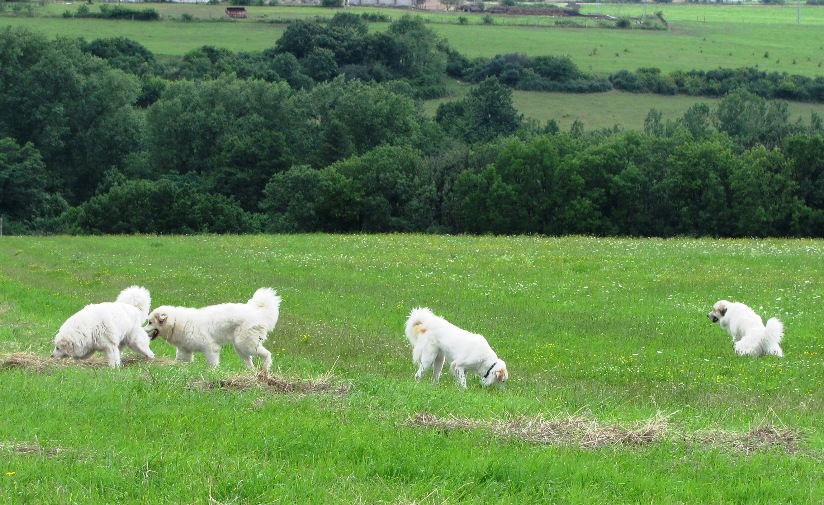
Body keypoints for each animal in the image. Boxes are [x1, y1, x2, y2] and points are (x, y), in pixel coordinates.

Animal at [143, 288, 282, 370]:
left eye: (150, 322)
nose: (142, 330)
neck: (176, 322)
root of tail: (258, 312)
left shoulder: (211, 348)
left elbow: (212, 364)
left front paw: (213, 373)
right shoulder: (185, 351)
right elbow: (182, 360)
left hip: (246, 345)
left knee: (267, 354)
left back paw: (265, 370)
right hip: (240, 348)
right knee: (250, 363)